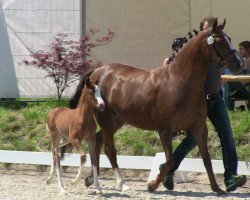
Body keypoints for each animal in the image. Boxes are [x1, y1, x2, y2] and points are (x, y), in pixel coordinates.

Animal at [69, 18, 243, 195]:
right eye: (219, 41)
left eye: (229, 38)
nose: (239, 63)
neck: (179, 81)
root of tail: (97, 72)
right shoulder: (165, 129)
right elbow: (171, 160)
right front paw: (152, 184)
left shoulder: (199, 127)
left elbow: (207, 159)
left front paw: (218, 188)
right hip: (104, 118)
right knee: (109, 149)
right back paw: (121, 184)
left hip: (117, 120)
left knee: (97, 141)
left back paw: (91, 179)